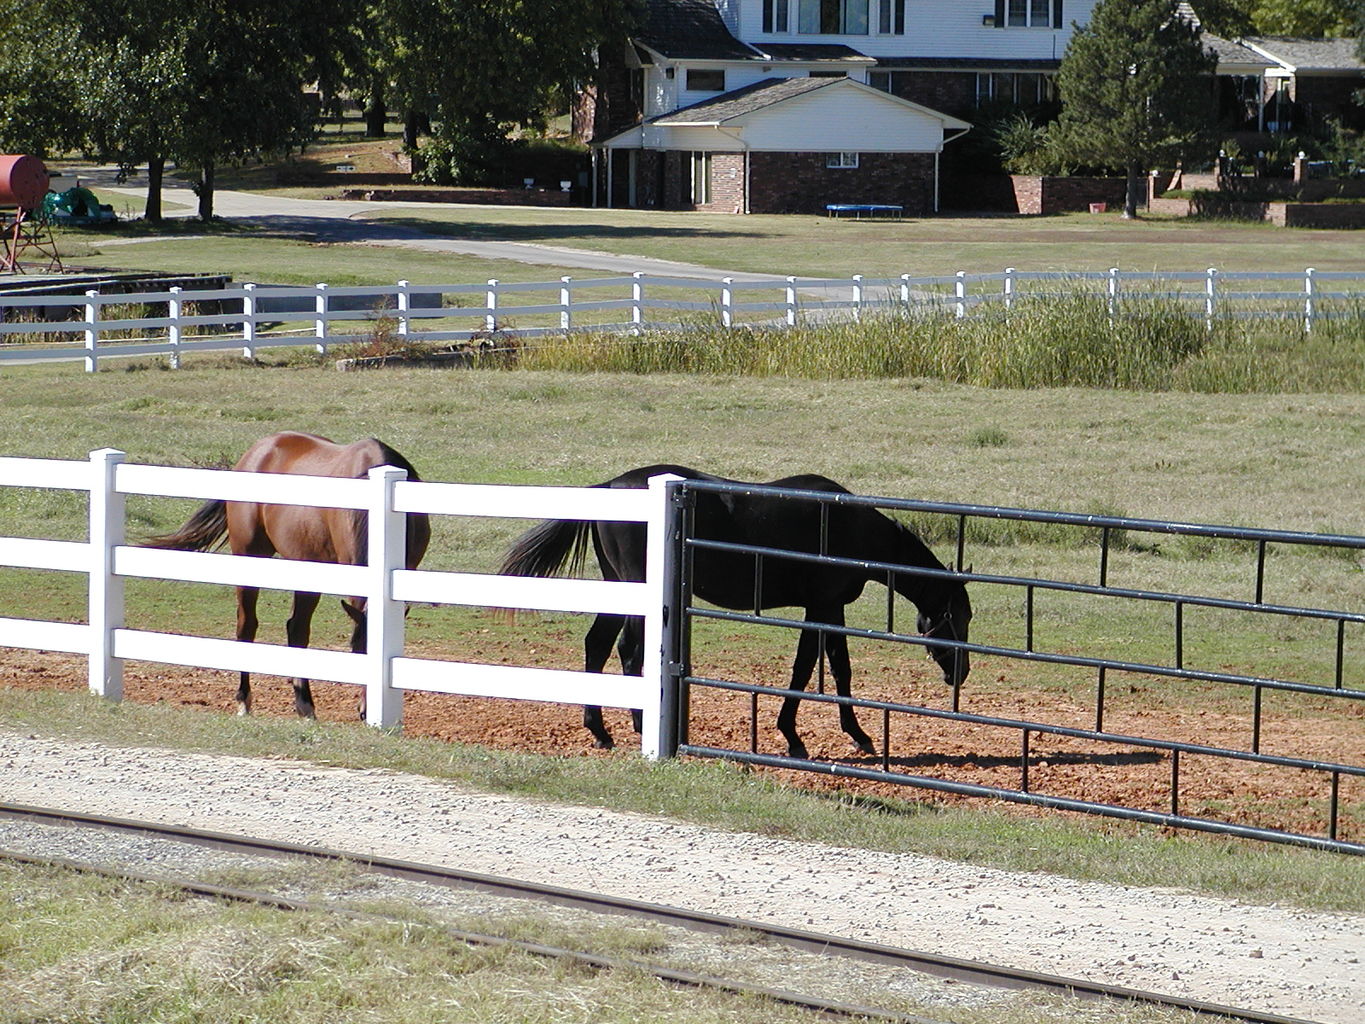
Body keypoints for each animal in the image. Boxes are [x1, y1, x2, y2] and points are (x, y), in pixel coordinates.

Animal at [141, 434, 428, 720]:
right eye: (356, 651)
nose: (365, 713)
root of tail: (255, 451)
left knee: (297, 628)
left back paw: (304, 704)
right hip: (249, 559)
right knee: (247, 626)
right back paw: (245, 700)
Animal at [502, 469, 971, 759]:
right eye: (957, 617)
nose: (961, 672)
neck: (845, 526)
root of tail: (614, 486)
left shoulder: (823, 608)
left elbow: (816, 667)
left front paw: (808, 734)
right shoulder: (825, 605)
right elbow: (828, 667)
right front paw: (836, 737)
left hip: (620, 588)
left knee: (597, 646)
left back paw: (600, 731)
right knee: (629, 651)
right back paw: (637, 726)